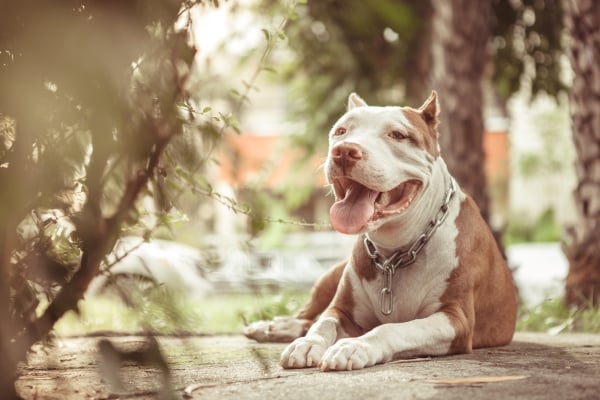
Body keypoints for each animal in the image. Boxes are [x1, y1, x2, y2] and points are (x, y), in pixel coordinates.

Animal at [243, 91, 516, 372]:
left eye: (397, 134)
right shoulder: (341, 309)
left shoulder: (455, 319)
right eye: (341, 131)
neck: (396, 252)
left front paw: (355, 346)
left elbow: (392, 329)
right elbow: (323, 323)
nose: (344, 151)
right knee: (308, 316)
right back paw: (273, 327)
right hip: (329, 276)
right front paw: (308, 343)